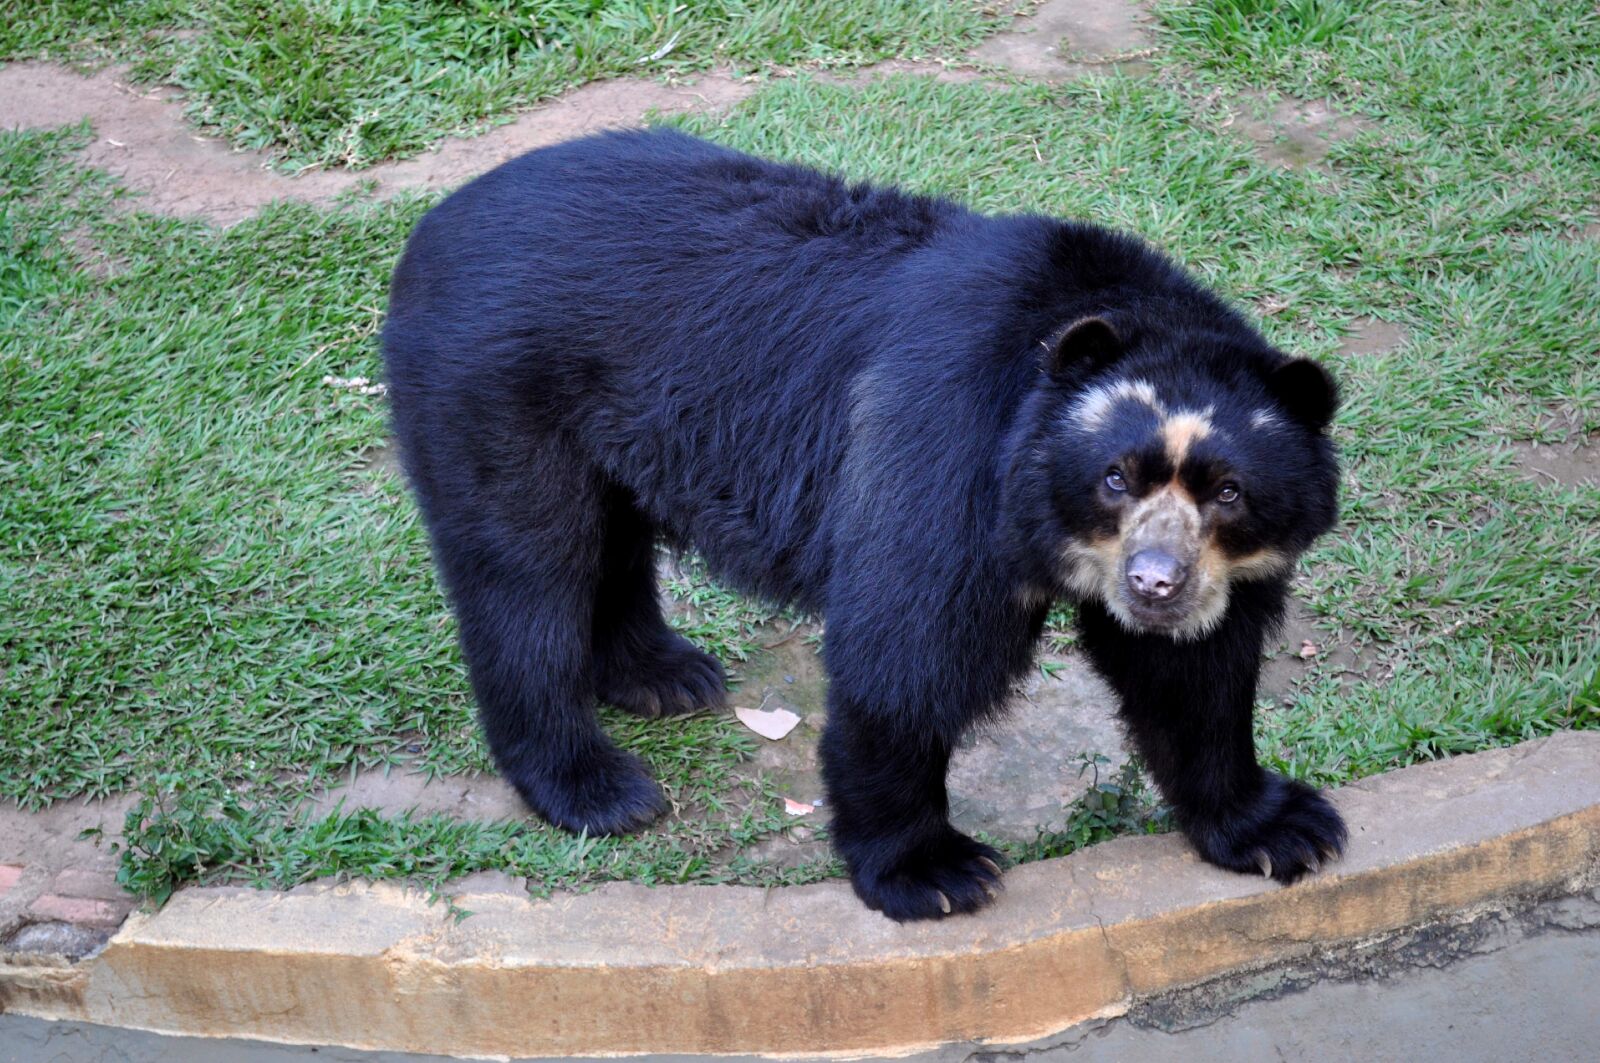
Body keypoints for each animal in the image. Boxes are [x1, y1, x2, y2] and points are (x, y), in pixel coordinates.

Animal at [381, 127, 1346, 921]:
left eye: (1228, 492)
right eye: (1114, 477)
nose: (1154, 584)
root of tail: (432, 227)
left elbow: (1194, 678)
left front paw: (1280, 826)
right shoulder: (948, 450)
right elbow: (904, 651)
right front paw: (934, 872)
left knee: (608, 546)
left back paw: (664, 674)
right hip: (494, 397)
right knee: (527, 573)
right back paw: (595, 786)